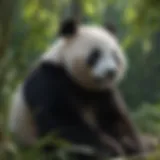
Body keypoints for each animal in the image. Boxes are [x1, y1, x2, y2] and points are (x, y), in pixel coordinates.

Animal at [8, 18, 144, 160]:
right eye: (95, 55)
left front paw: (130, 145)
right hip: (33, 144)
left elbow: (115, 117)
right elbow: (60, 121)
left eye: (114, 55)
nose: (111, 72)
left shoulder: (103, 92)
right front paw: (109, 148)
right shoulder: (49, 80)